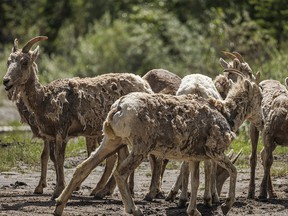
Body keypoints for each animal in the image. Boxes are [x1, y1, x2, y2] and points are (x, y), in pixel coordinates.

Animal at [1, 35, 153, 199]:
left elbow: (59, 158)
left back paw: (103, 191)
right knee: (120, 158)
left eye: (24, 62)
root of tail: (145, 86)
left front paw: (57, 191)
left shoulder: (62, 131)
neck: (45, 99)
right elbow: (53, 158)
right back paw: (103, 191)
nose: (6, 81)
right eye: (8, 61)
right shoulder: (52, 135)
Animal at [54, 61, 264, 216]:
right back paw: (134, 209)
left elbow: (195, 181)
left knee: (83, 168)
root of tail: (119, 108)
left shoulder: (194, 157)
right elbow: (233, 170)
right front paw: (226, 206)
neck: (225, 113)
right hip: (139, 149)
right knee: (120, 173)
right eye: (260, 97)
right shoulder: (215, 152)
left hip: (111, 142)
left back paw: (59, 206)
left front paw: (193, 211)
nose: (261, 122)